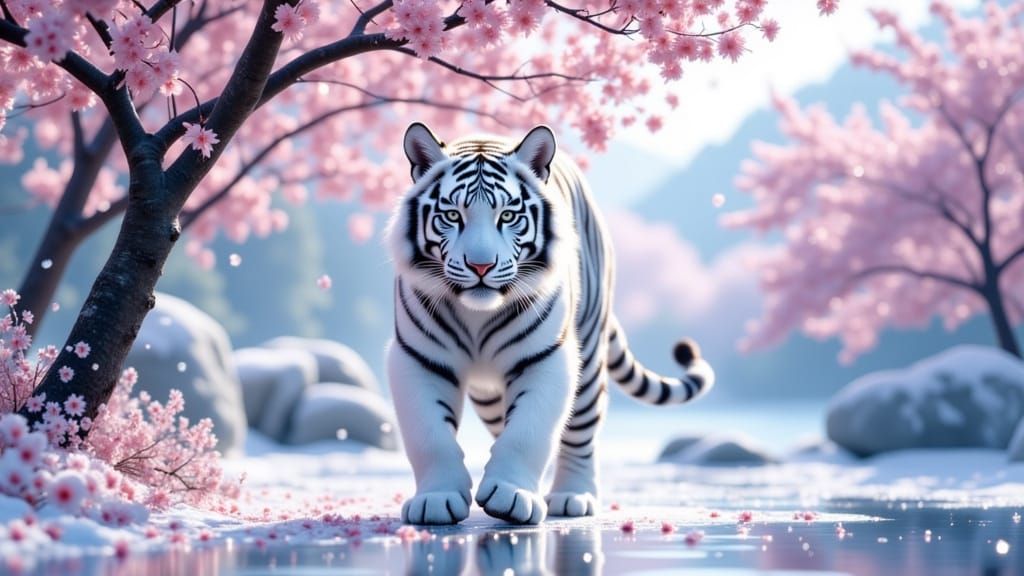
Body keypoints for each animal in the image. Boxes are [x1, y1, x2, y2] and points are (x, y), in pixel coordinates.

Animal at [385, 123, 715, 525]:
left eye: (507, 216)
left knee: (581, 432)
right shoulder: (418, 359)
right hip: (489, 394)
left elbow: (529, 430)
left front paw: (510, 496)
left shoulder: (546, 358)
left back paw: (573, 496)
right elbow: (430, 435)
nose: (481, 266)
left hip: (588, 356)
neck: (478, 314)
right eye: (452, 216)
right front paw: (437, 498)